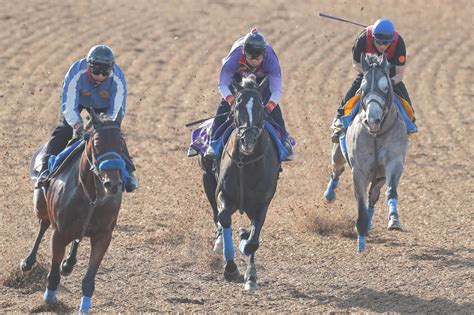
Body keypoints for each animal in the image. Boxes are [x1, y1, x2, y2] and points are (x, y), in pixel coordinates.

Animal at [21, 110, 125, 312]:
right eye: (97, 144)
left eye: (122, 145)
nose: (113, 185)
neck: (92, 195)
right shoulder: (59, 234)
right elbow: (53, 273)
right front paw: (49, 300)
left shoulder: (103, 236)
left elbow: (89, 280)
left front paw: (84, 308)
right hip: (41, 207)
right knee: (43, 225)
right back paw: (28, 262)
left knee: (77, 237)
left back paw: (68, 263)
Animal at [198, 76, 280, 292]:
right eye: (237, 107)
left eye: (260, 108)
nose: (248, 140)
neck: (247, 164)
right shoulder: (223, 194)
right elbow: (224, 217)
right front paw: (231, 269)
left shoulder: (262, 203)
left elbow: (253, 241)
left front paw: (251, 277)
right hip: (206, 178)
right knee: (216, 215)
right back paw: (220, 241)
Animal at [324, 53, 410, 253]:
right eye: (362, 89)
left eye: (385, 87)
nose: (372, 119)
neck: (376, 134)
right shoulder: (359, 171)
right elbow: (360, 204)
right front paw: (361, 238)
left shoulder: (393, 163)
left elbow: (391, 191)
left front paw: (394, 219)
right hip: (338, 154)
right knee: (336, 170)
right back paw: (329, 195)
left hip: (378, 176)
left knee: (373, 196)